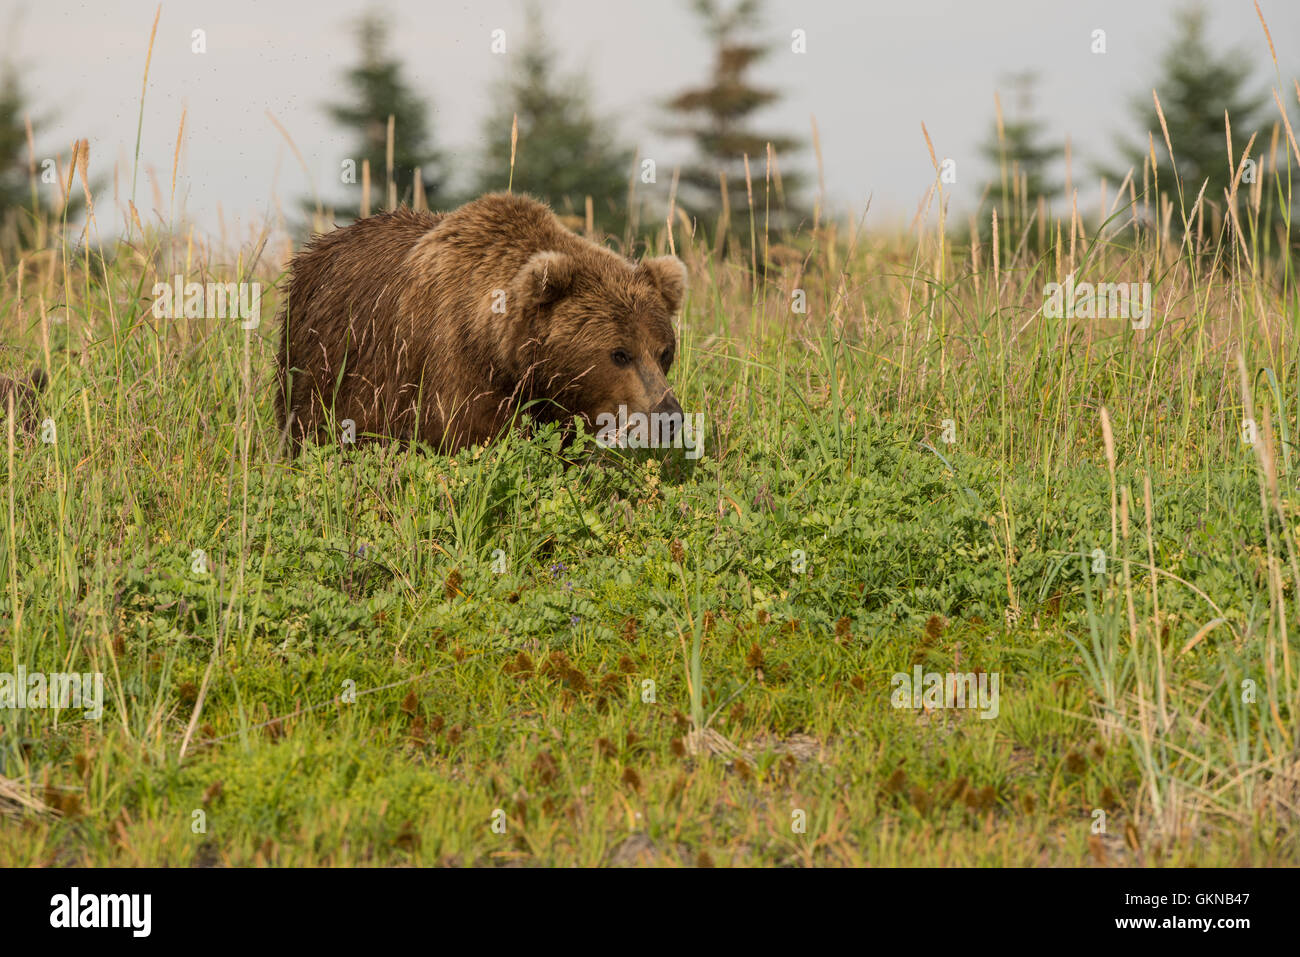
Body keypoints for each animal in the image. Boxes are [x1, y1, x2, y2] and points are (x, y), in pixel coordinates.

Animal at [275, 193, 687, 454]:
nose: (669, 416)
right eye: (620, 354)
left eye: (664, 352)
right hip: (324, 361)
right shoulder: (449, 368)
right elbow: (472, 439)